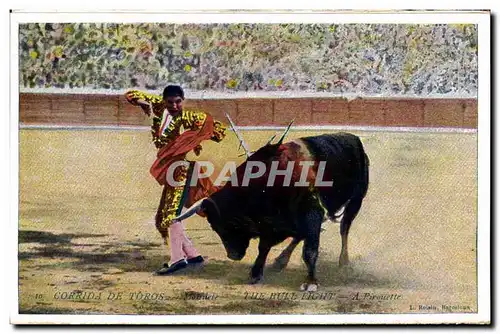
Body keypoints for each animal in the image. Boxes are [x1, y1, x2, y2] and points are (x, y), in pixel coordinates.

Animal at [175, 132, 368, 290]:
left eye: (231, 224)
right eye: (215, 227)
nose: (232, 255)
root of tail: (353, 138)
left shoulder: (311, 214)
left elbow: (310, 251)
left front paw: (310, 282)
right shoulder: (273, 223)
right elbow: (264, 247)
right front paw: (255, 274)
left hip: (355, 202)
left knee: (344, 229)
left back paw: (344, 262)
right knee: (301, 235)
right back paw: (280, 262)